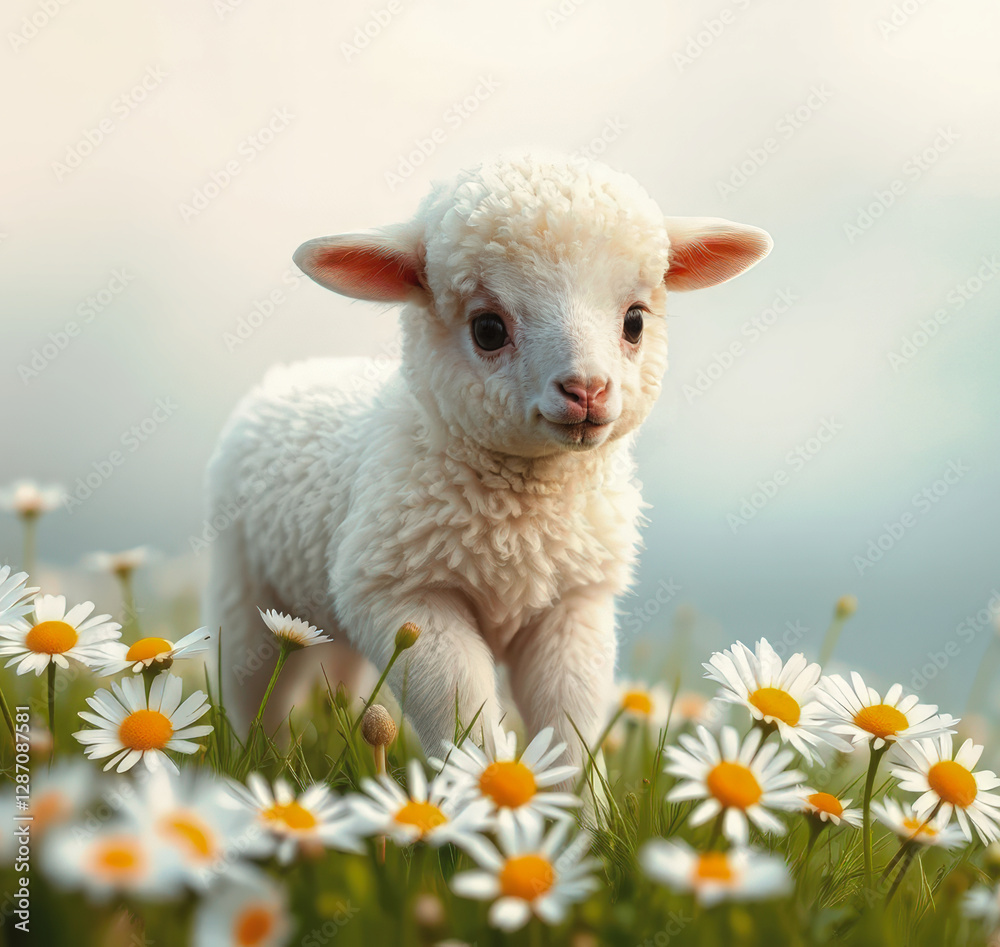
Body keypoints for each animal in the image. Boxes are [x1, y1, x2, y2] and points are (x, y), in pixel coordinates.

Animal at [204, 153, 772, 767]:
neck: (522, 515)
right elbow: (459, 708)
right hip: (245, 590)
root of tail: (293, 370)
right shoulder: (403, 594)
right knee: (254, 690)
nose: (587, 391)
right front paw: (478, 782)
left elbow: (571, 721)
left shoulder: (575, 602)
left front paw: (569, 795)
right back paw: (259, 761)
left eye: (635, 321)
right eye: (489, 328)